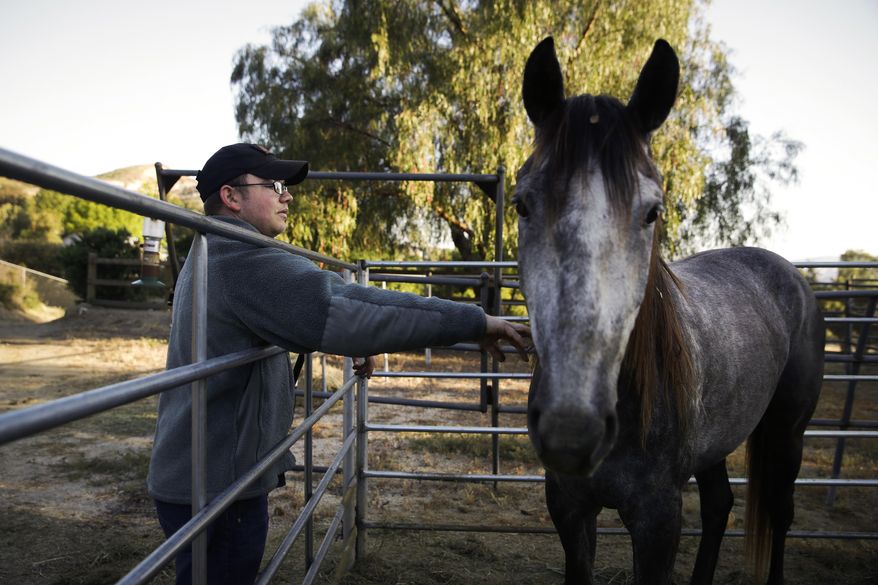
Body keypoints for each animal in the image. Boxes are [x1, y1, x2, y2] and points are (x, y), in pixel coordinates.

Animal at [516, 37, 824, 585]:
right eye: (522, 204)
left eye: (652, 212)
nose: (571, 428)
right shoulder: (568, 507)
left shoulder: (658, 521)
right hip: (717, 444)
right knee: (720, 504)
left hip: (788, 434)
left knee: (780, 513)